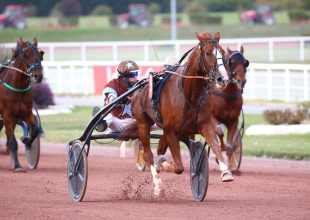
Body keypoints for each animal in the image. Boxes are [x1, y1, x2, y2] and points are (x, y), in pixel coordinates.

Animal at [0, 37, 44, 172]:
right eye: (26, 55)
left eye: (41, 55)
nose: (38, 76)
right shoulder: (7, 115)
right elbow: (13, 142)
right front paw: (17, 165)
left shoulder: (26, 113)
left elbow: (35, 129)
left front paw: (27, 141)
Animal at [120, 30, 224, 196]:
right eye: (208, 53)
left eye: (222, 53)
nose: (220, 78)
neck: (188, 94)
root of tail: (138, 88)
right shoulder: (171, 130)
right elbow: (178, 167)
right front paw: (163, 166)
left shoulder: (201, 125)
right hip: (143, 124)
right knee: (148, 154)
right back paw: (158, 185)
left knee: (160, 148)